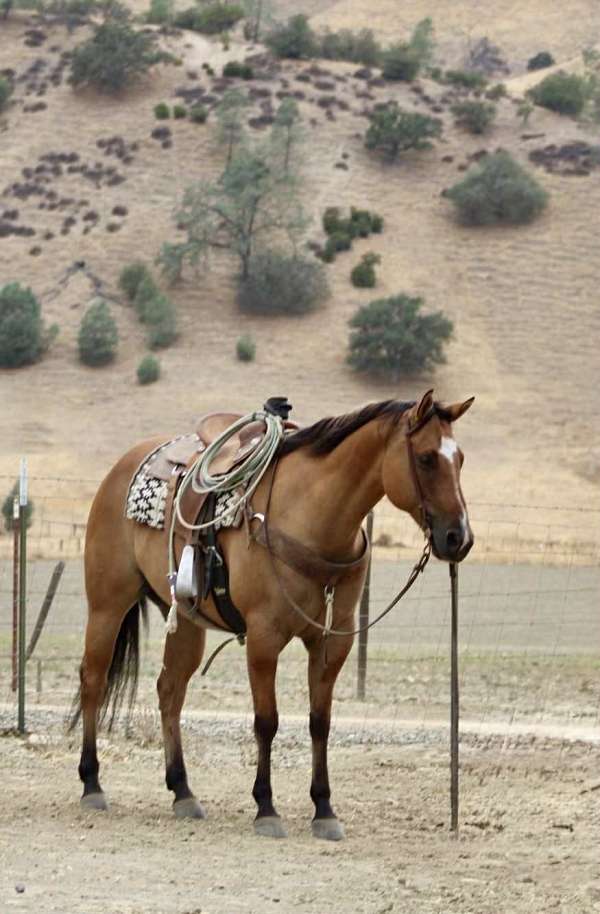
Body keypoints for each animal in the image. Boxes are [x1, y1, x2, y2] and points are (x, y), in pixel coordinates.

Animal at [70, 389, 474, 840]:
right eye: (426, 458)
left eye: (459, 459)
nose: (458, 537)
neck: (312, 517)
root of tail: (123, 465)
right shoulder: (264, 638)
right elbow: (267, 720)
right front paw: (266, 807)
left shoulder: (334, 639)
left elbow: (320, 721)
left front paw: (324, 809)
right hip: (107, 605)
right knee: (93, 680)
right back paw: (92, 783)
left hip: (186, 622)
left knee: (170, 691)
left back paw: (183, 791)